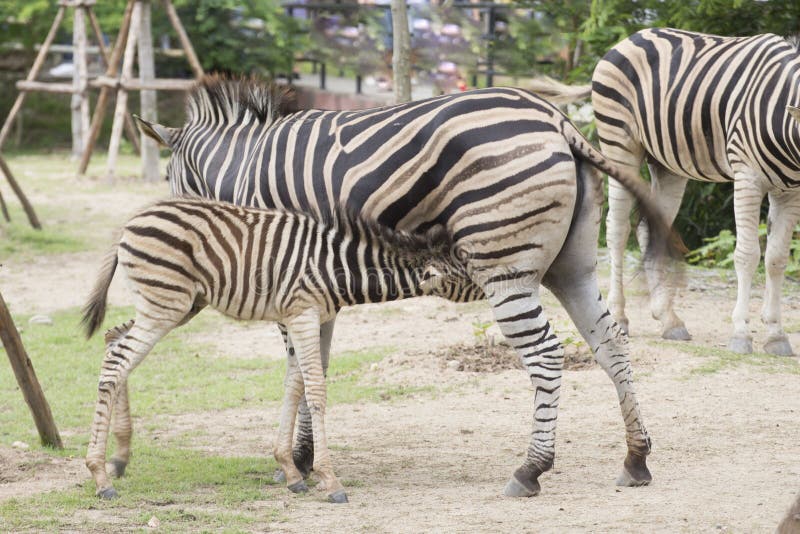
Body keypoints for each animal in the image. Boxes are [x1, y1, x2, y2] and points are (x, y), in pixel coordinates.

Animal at [82, 198, 476, 503]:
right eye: (468, 274)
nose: (492, 288)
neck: (337, 267)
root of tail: (130, 222)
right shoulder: (303, 314)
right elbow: (315, 391)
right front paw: (329, 480)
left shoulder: (294, 318)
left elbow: (294, 385)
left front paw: (290, 471)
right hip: (165, 305)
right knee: (117, 361)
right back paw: (100, 477)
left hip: (180, 304)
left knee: (113, 341)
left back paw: (120, 456)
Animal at [134, 77, 679, 497]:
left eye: (169, 179)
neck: (243, 169)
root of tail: (558, 121)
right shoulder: (313, 286)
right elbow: (315, 368)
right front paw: (306, 458)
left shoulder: (286, 276)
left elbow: (299, 370)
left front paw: (296, 463)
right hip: (572, 266)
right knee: (611, 343)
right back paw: (636, 458)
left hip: (504, 265)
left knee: (546, 354)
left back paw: (530, 469)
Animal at [532, 28, 800, 356]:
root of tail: (631, 37)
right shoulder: (747, 176)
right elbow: (748, 254)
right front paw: (741, 333)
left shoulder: (790, 191)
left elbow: (776, 259)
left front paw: (776, 334)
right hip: (620, 146)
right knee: (617, 230)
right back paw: (620, 317)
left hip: (667, 165)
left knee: (650, 230)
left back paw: (668, 319)